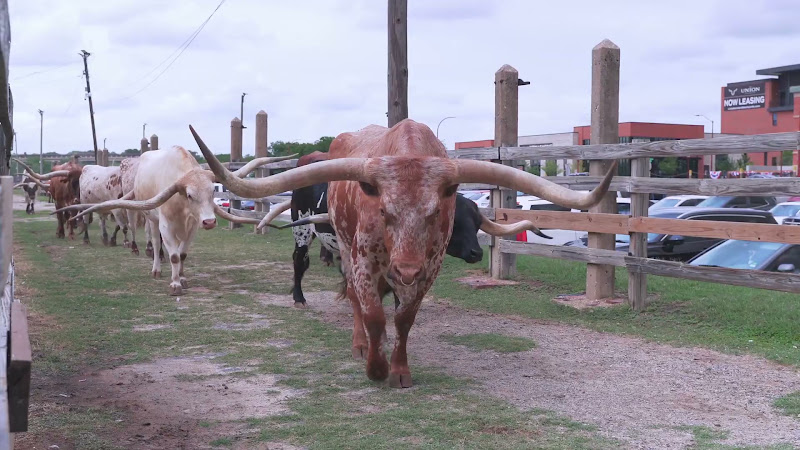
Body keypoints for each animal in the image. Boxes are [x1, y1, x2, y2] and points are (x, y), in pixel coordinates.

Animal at [55, 146, 294, 295]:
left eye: (212, 192)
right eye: (189, 194)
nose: (210, 222)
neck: (182, 206)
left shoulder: (192, 227)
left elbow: (183, 254)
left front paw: (183, 277)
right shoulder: (166, 225)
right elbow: (173, 255)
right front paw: (175, 283)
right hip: (151, 220)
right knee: (155, 243)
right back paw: (156, 269)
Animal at [191, 119, 616, 388]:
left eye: (436, 212)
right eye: (384, 210)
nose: (406, 269)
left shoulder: (429, 268)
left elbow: (403, 319)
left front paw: (399, 369)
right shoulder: (364, 261)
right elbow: (374, 315)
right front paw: (375, 367)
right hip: (317, 236)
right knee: (318, 274)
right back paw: (328, 319)